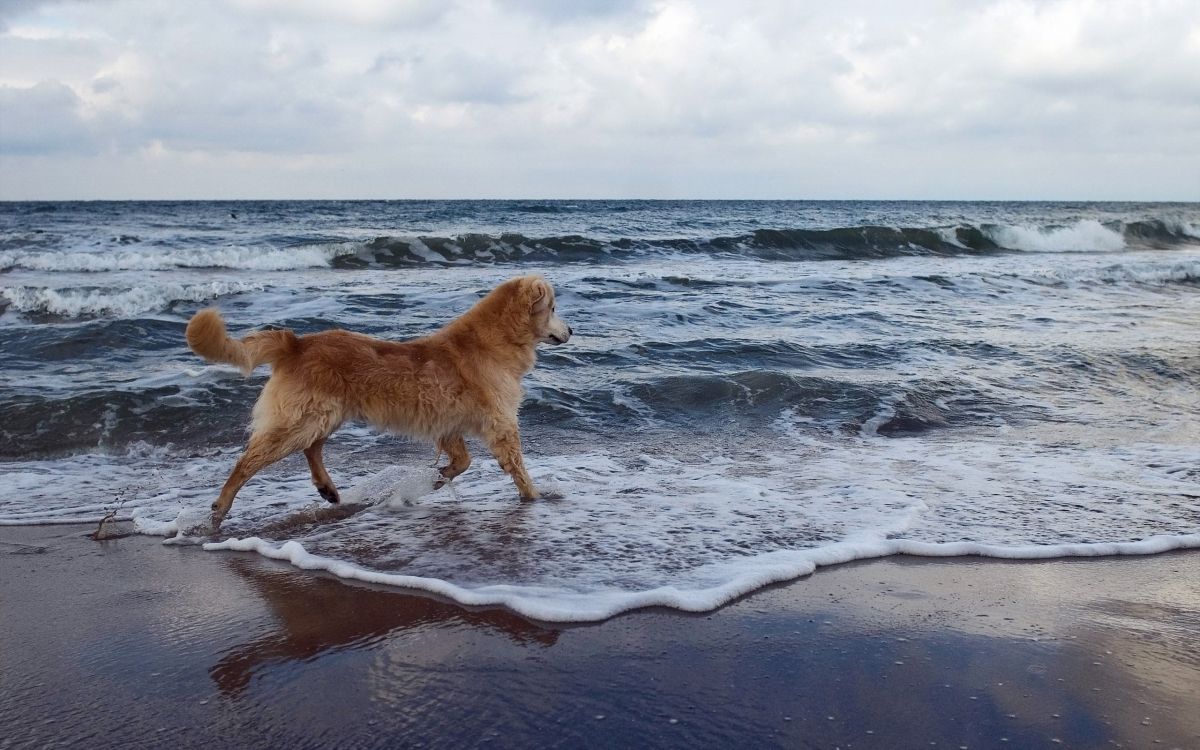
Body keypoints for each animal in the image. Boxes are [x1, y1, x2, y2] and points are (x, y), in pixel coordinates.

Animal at [184, 273, 568, 525]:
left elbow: (462, 462)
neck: (492, 342)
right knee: (248, 461)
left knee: (312, 448)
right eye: (552, 308)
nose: (571, 330)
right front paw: (534, 497)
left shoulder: (448, 425)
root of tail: (296, 343)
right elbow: (516, 466)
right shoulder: (501, 423)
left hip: (325, 414)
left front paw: (436, 479)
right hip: (301, 419)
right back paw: (220, 507)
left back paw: (327, 489)